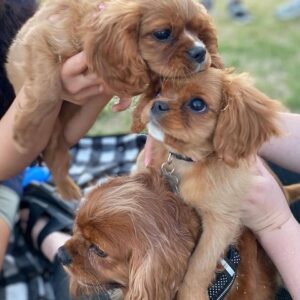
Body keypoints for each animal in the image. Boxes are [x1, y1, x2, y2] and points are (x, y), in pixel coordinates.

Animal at [139, 68, 282, 300]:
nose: (156, 104)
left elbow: (200, 263)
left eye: (198, 104)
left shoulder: (220, 222)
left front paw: (191, 294)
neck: (184, 161)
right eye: (159, 90)